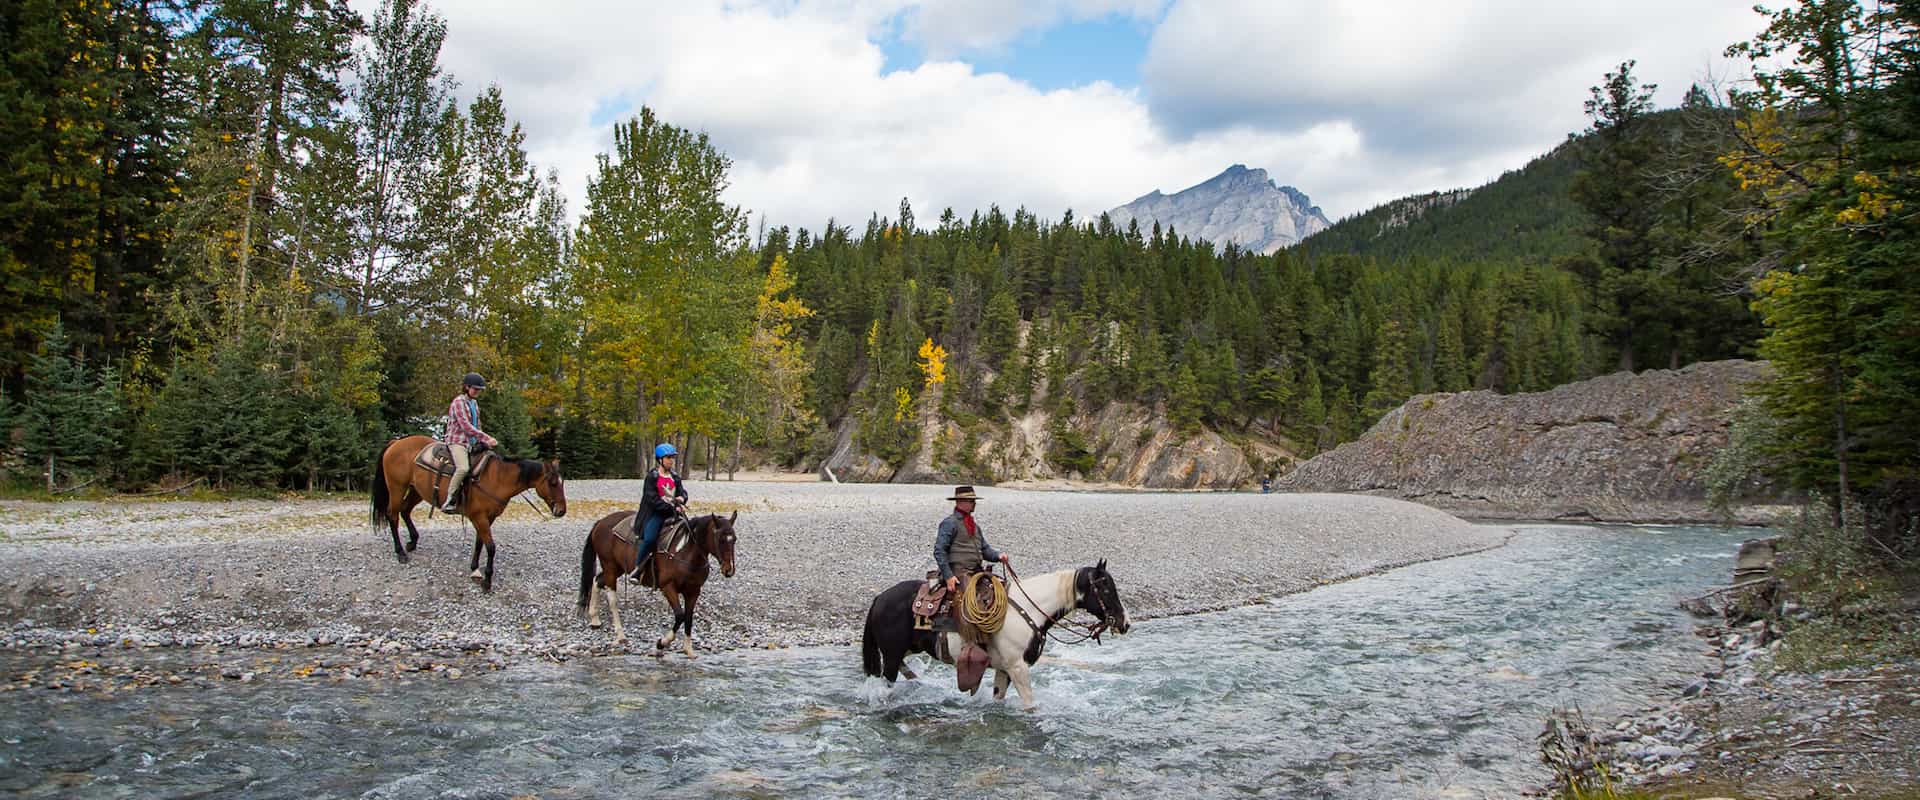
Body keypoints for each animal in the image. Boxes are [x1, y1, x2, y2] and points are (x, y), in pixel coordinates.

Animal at [364, 433, 560, 590]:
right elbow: (491, 547)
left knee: (405, 511)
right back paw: (401, 553)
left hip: (416, 490)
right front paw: (487, 580)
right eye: (552, 483)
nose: (561, 510)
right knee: (393, 515)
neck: (497, 478)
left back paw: (412, 542)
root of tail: (396, 442)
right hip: (397, 487)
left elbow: (480, 542)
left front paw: (475, 569)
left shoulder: (487, 518)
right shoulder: (479, 517)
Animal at [576, 510, 733, 656]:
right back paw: (620, 635)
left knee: (597, 580)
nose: (729, 570)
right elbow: (680, 615)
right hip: (610, 566)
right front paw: (662, 643)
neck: (685, 553)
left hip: (616, 569)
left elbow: (688, 618)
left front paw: (688, 650)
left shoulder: (693, 591)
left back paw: (594, 619)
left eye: (734, 540)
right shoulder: (668, 587)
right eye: (720, 539)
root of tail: (601, 522)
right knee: (612, 599)